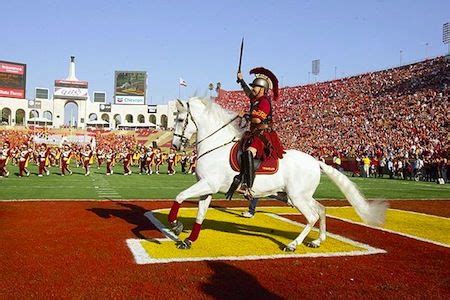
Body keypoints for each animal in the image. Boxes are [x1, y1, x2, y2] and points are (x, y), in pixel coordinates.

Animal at [167, 96, 384, 251]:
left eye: (180, 119)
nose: (175, 145)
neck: (216, 146)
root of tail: (316, 162)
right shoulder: (207, 189)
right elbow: (200, 214)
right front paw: (188, 240)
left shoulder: (208, 184)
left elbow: (179, 196)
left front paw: (175, 225)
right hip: (297, 196)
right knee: (322, 210)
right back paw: (317, 241)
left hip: (297, 198)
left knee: (312, 217)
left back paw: (293, 244)